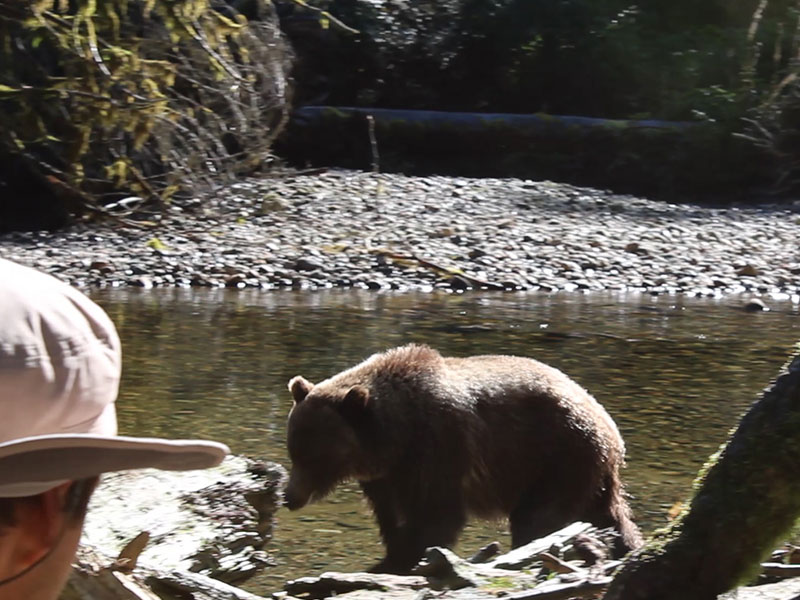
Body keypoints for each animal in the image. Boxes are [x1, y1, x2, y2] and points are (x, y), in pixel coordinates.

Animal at [284, 342, 640, 572]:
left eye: (314, 457)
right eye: (293, 451)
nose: (290, 497)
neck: (395, 438)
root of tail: (611, 429)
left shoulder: (440, 448)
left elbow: (438, 516)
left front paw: (399, 561)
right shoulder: (385, 477)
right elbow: (391, 516)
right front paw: (392, 554)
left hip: (558, 456)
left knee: (537, 517)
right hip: (586, 472)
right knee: (609, 516)